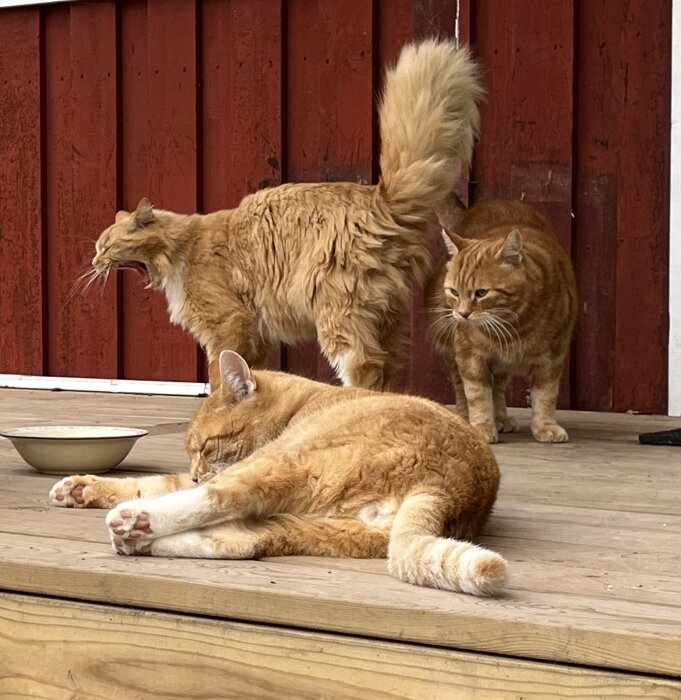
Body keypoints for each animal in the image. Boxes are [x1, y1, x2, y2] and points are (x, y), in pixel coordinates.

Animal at [50, 350, 508, 596]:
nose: (197, 473)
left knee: (225, 498)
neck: (302, 402)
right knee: (246, 541)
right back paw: (141, 541)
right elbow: (150, 483)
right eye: (190, 452)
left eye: (206, 446)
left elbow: (168, 486)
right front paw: (79, 489)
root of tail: (448, 486)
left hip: (286, 462)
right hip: (321, 529)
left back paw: (135, 523)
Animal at [83, 41, 478, 392]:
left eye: (106, 246)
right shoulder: (253, 334)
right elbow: (248, 369)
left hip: (338, 309)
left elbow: (219, 370)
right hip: (388, 317)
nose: (94, 262)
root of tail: (379, 198)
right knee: (391, 366)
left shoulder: (228, 321)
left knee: (365, 365)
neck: (182, 247)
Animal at [428, 198, 576, 442]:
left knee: (497, 387)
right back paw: (467, 419)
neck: (515, 325)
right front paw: (481, 426)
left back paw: (500, 419)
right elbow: (477, 395)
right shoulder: (469, 354)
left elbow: (546, 395)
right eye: (454, 292)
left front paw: (545, 426)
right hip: (452, 348)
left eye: (481, 293)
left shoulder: (552, 357)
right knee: (462, 387)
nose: (463, 314)